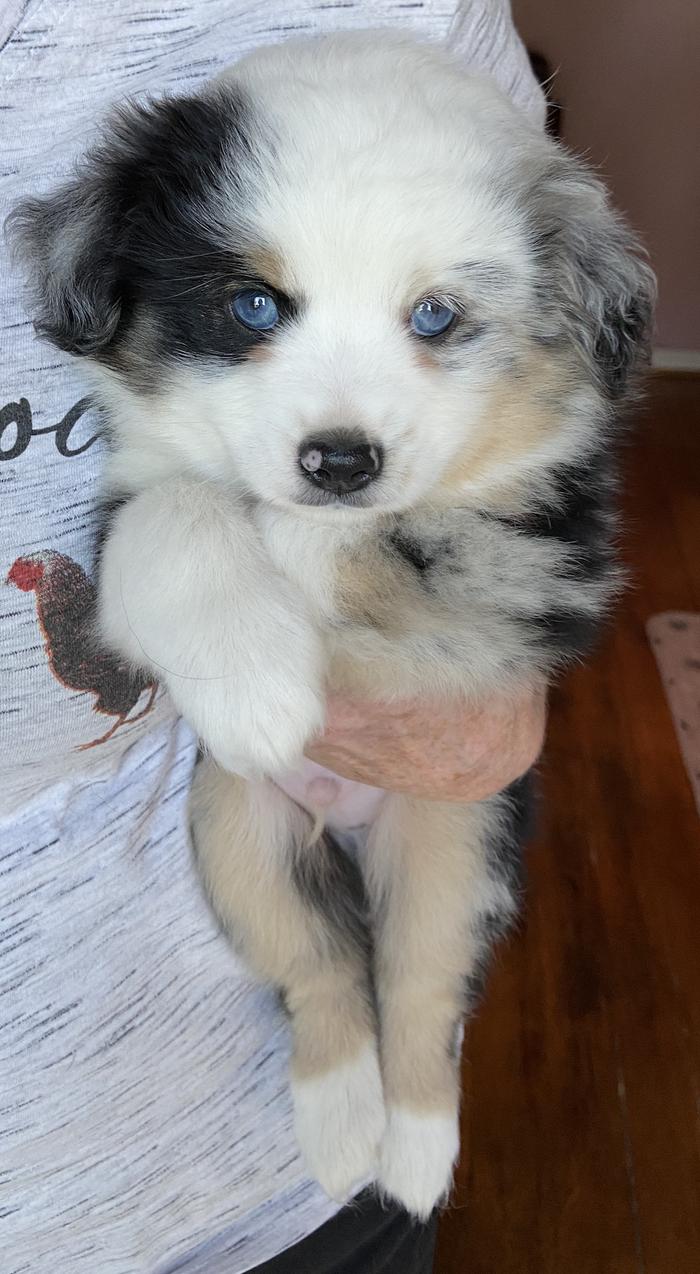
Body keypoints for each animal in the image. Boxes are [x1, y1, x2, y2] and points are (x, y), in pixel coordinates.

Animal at [10, 34, 652, 1217]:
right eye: (254, 306)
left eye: (435, 316)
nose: (341, 461)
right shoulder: (133, 517)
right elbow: (186, 508)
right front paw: (259, 689)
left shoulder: (527, 563)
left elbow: (354, 543)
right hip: (235, 830)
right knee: (322, 974)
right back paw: (344, 1122)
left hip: (463, 840)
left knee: (421, 992)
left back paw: (415, 1151)